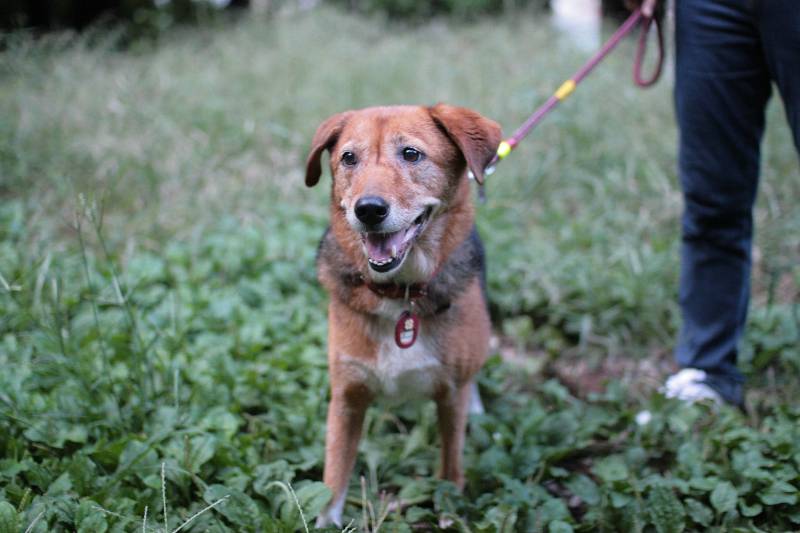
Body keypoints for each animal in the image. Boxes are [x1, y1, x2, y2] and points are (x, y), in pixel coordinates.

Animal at [305, 104, 501, 527]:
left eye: (411, 154)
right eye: (349, 158)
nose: (368, 210)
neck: (400, 295)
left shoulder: (450, 396)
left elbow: (450, 467)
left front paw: (448, 511)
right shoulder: (346, 397)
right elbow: (334, 477)